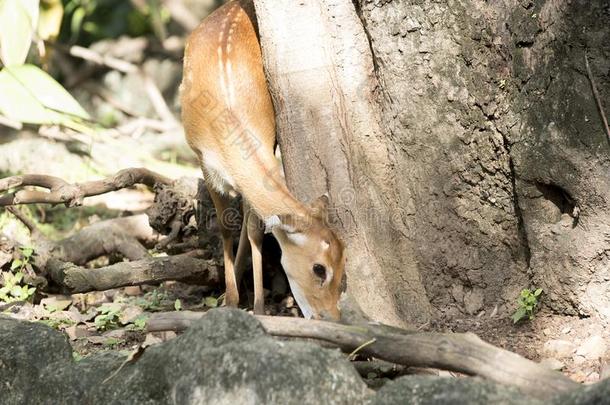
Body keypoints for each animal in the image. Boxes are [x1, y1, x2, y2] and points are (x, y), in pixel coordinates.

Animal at [178, 0, 344, 320]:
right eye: (319, 268)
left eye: (344, 261)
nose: (332, 317)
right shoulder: (203, 160)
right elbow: (225, 226)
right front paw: (231, 299)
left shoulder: (268, 143)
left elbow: (255, 229)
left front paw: (258, 307)